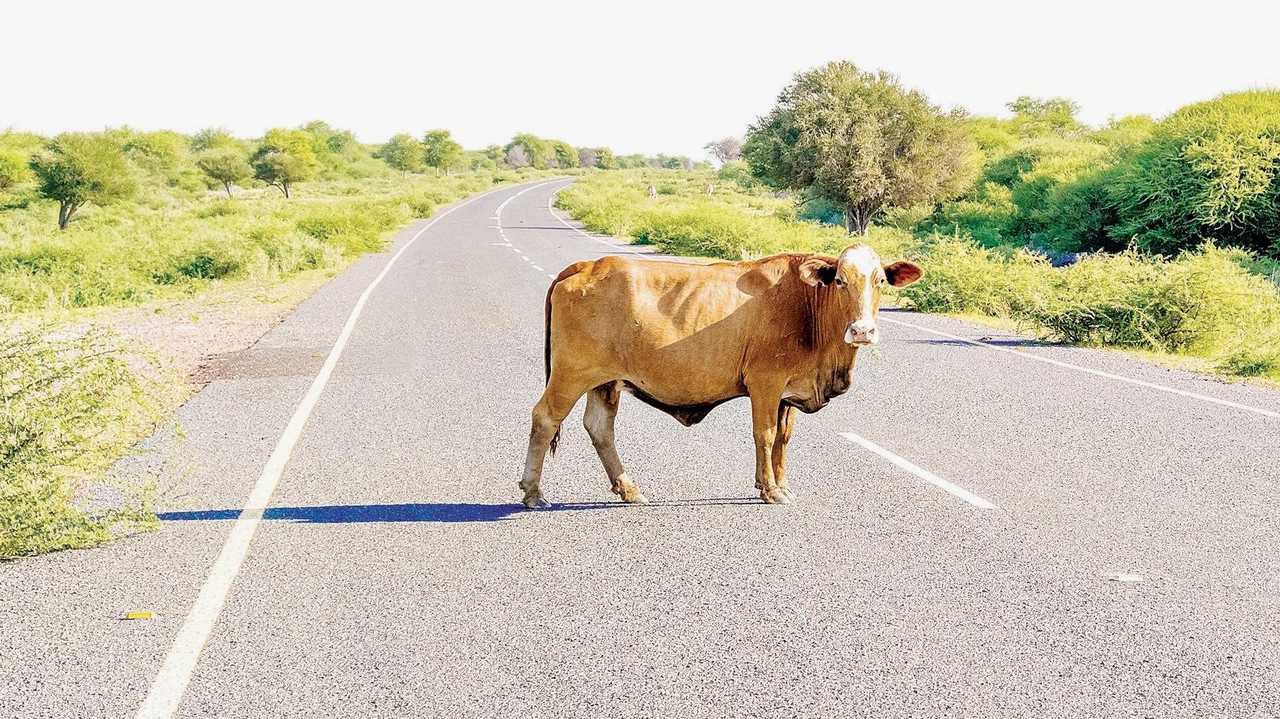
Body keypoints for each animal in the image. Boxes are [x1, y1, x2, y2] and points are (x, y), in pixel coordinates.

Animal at [514, 243, 926, 506]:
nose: (862, 330)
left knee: (600, 428)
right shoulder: (765, 383)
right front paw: (770, 490)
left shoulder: (787, 393)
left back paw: (629, 489)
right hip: (571, 375)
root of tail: (586, 264)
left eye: (880, 281)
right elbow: (765, 435)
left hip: (604, 382)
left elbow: (783, 440)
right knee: (545, 418)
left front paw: (780, 484)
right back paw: (533, 493)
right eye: (840, 280)